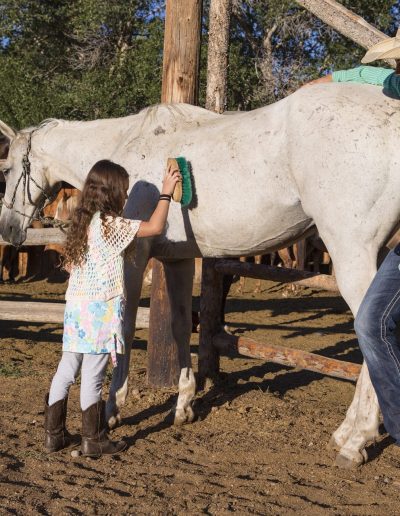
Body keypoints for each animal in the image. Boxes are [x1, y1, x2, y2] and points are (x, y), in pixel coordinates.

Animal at [0, 82, 400, 466]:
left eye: (6, 170)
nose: (8, 229)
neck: (127, 145)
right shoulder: (178, 261)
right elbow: (179, 326)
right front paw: (184, 405)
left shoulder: (133, 254)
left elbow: (125, 327)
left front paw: (113, 408)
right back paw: (348, 433)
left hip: (353, 255)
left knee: (370, 331)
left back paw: (356, 440)